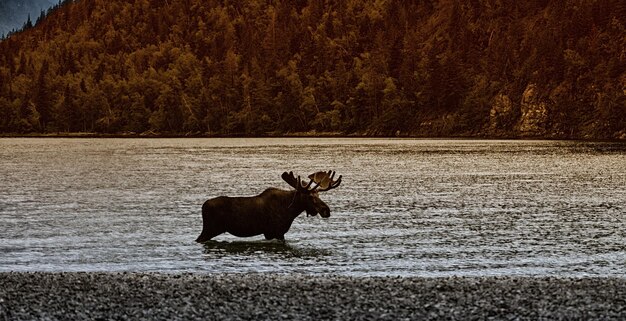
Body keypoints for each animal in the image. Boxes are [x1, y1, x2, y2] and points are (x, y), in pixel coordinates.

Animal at [195, 169, 342, 241]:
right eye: (310, 196)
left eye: (319, 196)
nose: (326, 210)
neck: (290, 211)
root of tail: (203, 206)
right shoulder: (275, 231)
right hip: (209, 229)